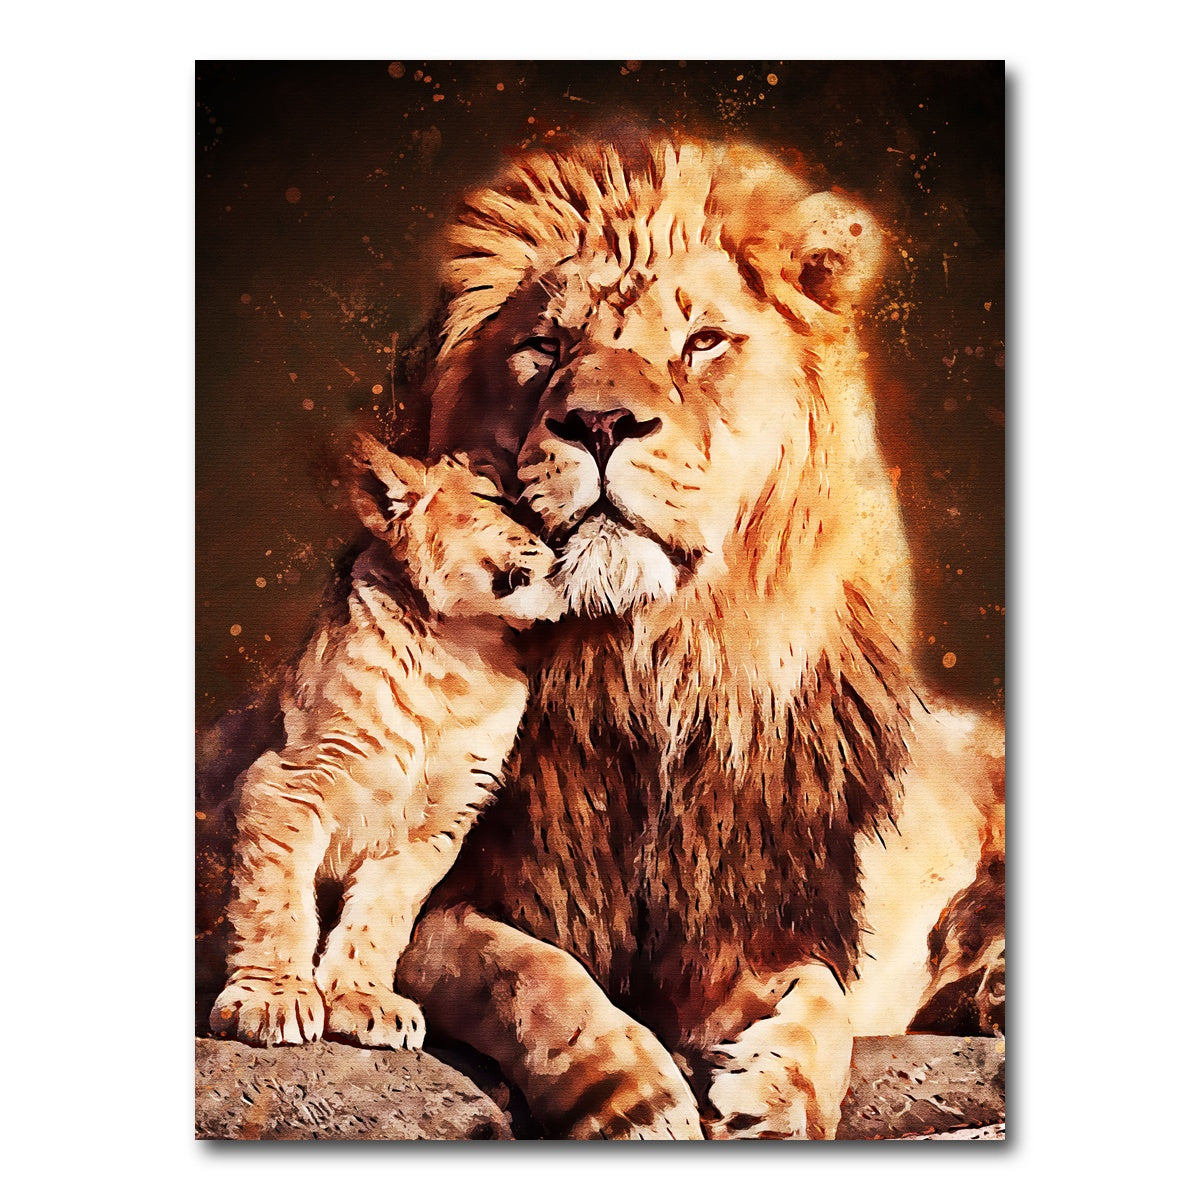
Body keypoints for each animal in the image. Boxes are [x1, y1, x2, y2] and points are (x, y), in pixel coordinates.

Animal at [209, 435, 564, 1051]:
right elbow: (276, 899)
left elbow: (382, 914)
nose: (564, 544)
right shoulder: (285, 781)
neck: (457, 655)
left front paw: (362, 1000)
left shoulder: (437, 825)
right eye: (499, 500)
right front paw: (271, 998)